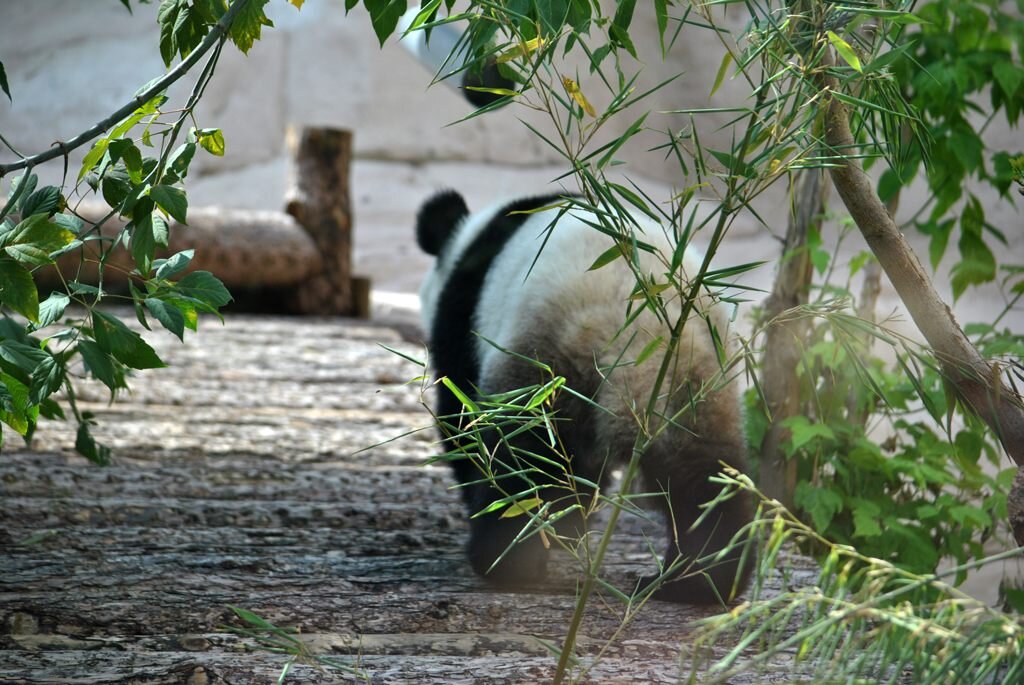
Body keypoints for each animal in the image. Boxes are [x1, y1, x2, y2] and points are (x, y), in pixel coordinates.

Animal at [413, 189, 753, 602]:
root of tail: (640, 327)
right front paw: (569, 524)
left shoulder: (464, 319)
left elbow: (462, 420)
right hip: (696, 380)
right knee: (705, 477)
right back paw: (698, 580)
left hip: (545, 362)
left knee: (524, 458)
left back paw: (505, 559)